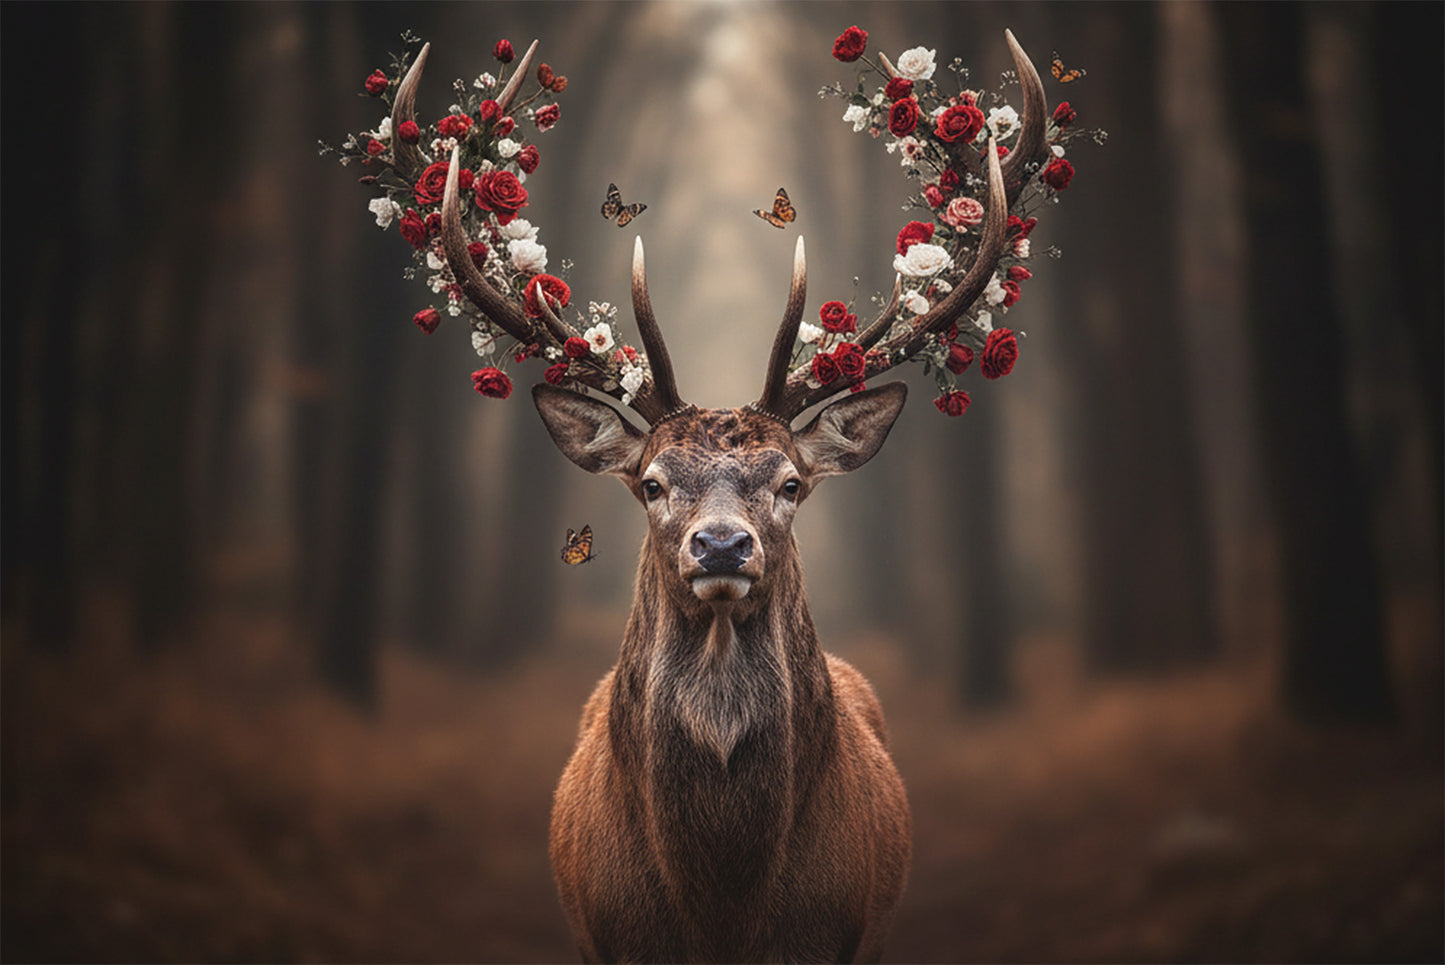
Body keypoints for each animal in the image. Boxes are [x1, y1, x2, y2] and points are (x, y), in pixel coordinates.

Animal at [380, 27, 1054, 963]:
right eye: (651, 482)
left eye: (791, 483)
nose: (724, 544)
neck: (724, 910)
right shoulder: (604, 937)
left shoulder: (843, 935)